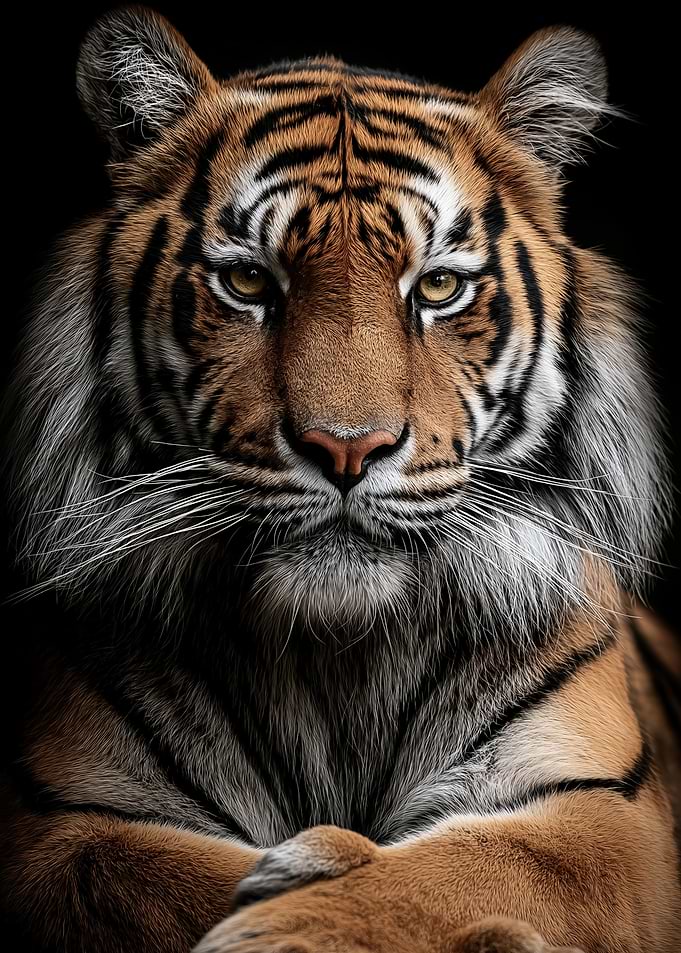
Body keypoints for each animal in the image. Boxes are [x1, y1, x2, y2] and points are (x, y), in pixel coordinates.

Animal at [1, 5, 679, 952]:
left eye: (437, 287)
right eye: (248, 280)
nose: (347, 448)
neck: (336, 657)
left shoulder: (605, 819)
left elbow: (455, 869)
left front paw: (302, 896)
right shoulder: (62, 820)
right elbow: (142, 876)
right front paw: (305, 868)